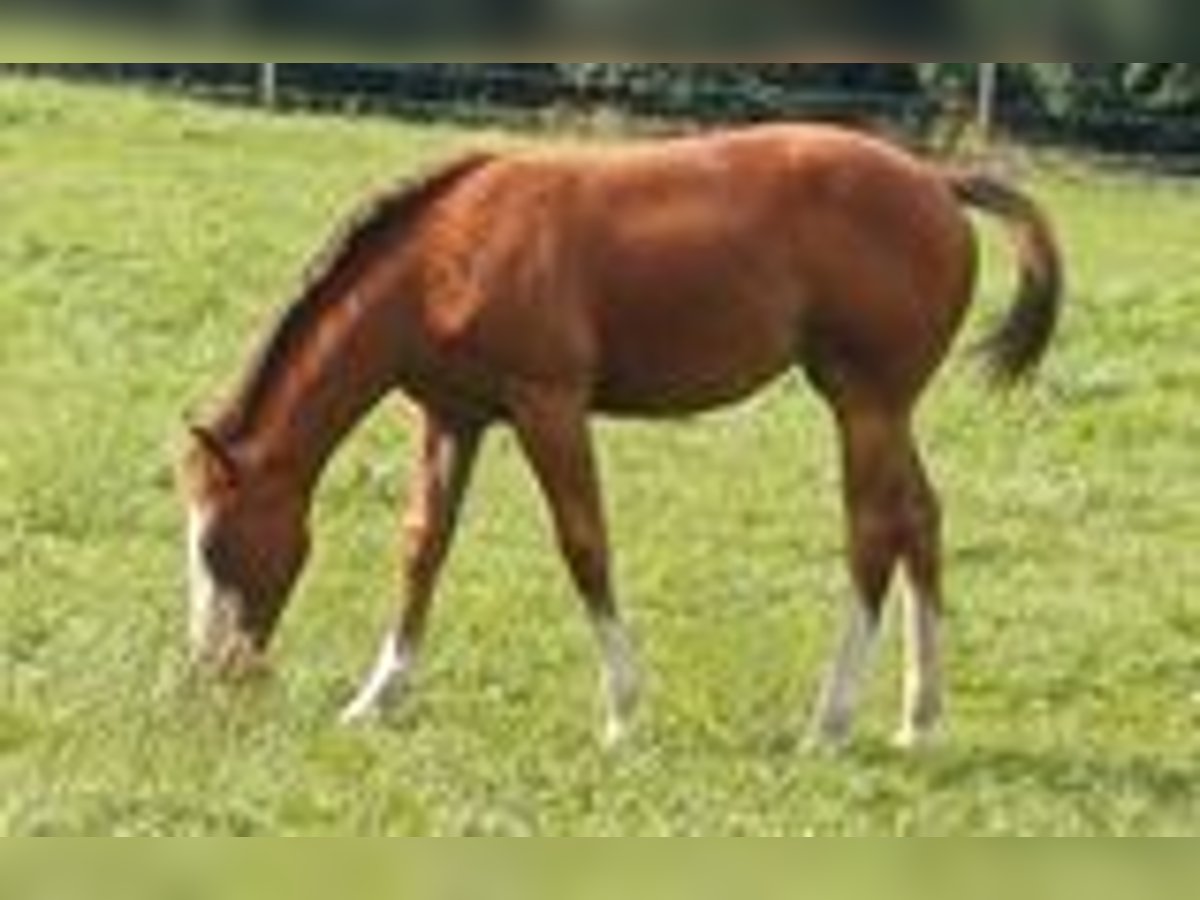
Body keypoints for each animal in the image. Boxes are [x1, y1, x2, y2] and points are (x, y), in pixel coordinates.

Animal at [180, 123, 1063, 750]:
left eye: (215, 544)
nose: (212, 671)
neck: (445, 256)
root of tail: (936, 182)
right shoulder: (453, 417)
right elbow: (423, 546)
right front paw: (376, 698)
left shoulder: (549, 406)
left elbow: (584, 544)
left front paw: (622, 712)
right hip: (885, 408)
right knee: (921, 521)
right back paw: (918, 719)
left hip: (863, 403)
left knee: (874, 534)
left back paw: (830, 723)